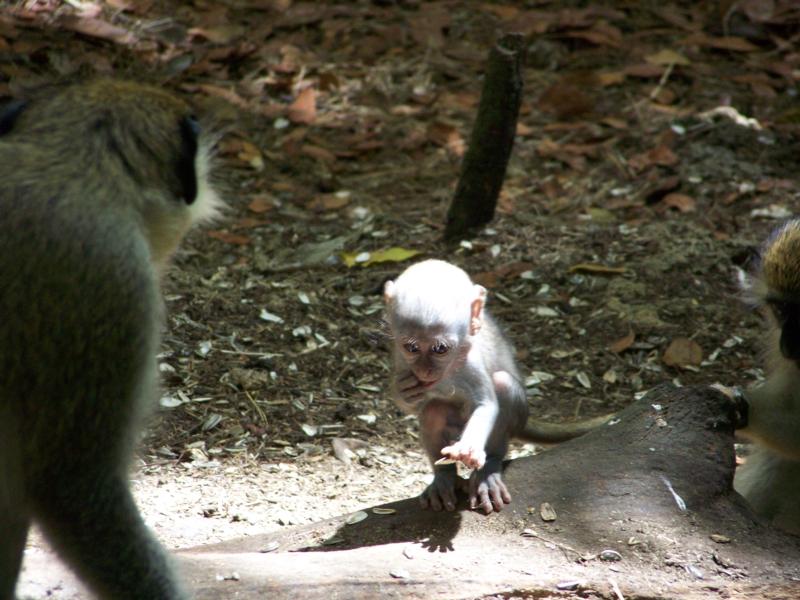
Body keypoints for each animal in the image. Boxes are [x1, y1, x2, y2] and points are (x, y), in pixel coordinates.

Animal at [384, 260, 604, 512]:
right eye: (412, 347)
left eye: (440, 349)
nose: (425, 371)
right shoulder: (401, 359)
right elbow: (411, 405)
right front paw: (404, 390)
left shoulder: (471, 361)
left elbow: (487, 404)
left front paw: (469, 449)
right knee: (433, 410)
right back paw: (444, 476)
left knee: (503, 386)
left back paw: (488, 469)